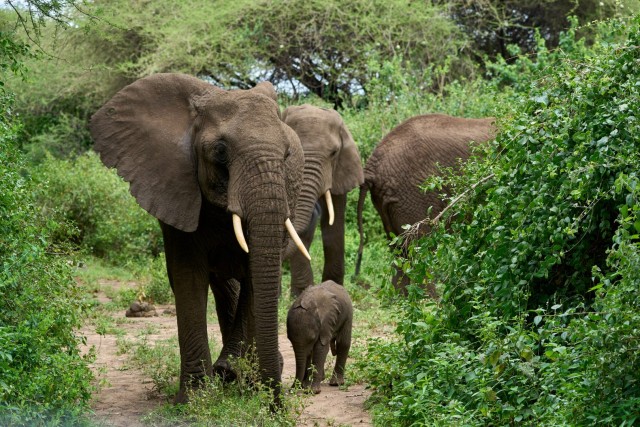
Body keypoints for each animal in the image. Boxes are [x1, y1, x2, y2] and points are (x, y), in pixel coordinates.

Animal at [90, 72, 310, 404]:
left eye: (286, 155)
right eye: (220, 151)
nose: (276, 405)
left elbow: (255, 273)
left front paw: (236, 378)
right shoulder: (174, 188)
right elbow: (188, 275)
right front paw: (195, 398)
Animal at [282, 104, 362, 298]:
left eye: (334, 153)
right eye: (288, 152)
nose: (316, 210)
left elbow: (335, 225)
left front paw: (333, 286)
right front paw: (302, 293)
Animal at [356, 113, 496, 294]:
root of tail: (371, 167)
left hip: (389, 200)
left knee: (399, 251)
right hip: (414, 194)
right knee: (421, 251)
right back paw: (432, 300)